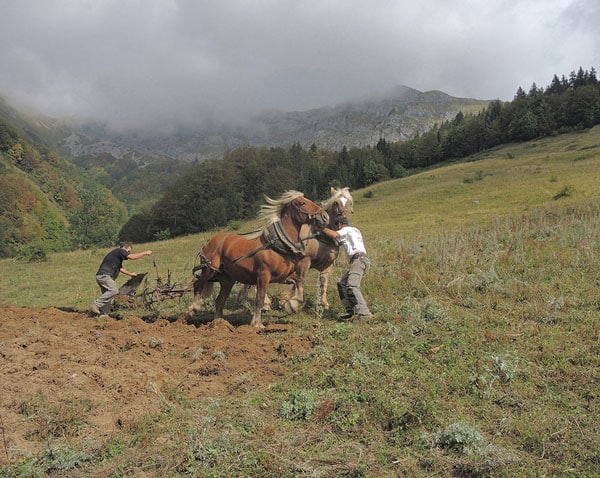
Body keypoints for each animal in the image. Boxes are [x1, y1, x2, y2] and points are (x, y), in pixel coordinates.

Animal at [188, 190, 328, 328]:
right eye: (302, 203)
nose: (325, 216)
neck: (277, 244)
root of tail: (209, 242)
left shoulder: (283, 276)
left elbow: (298, 285)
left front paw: (290, 304)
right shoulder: (263, 275)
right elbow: (259, 299)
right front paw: (257, 324)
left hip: (227, 280)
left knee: (219, 301)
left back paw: (218, 324)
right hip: (209, 269)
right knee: (198, 285)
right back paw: (193, 309)